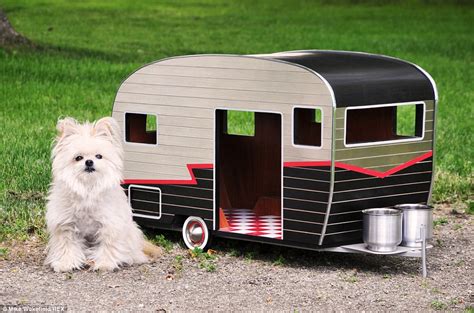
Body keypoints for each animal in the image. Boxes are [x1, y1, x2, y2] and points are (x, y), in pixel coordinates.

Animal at [46, 116, 161, 270]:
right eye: (78, 158)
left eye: (99, 156)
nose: (89, 162)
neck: (88, 188)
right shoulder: (66, 226)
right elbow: (67, 246)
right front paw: (66, 263)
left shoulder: (109, 225)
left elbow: (108, 246)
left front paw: (105, 264)